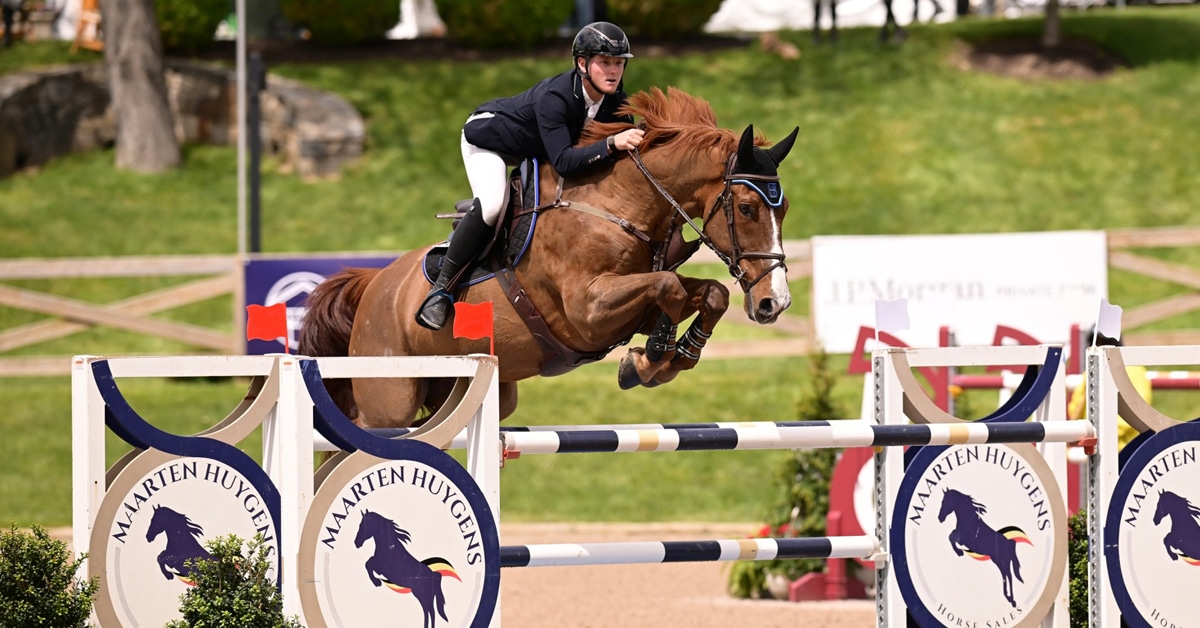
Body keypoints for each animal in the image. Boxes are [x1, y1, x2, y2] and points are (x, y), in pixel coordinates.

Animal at [300, 87, 799, 429]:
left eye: (784, 208)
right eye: (747, 208)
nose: (774, 303)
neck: (619, 203)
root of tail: (374, 283)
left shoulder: (623, 306)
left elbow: (707, 293)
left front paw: (669, 357)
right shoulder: (588, 311)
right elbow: (669, 287)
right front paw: (651, 358)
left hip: (478, 391)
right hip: (389, 398)